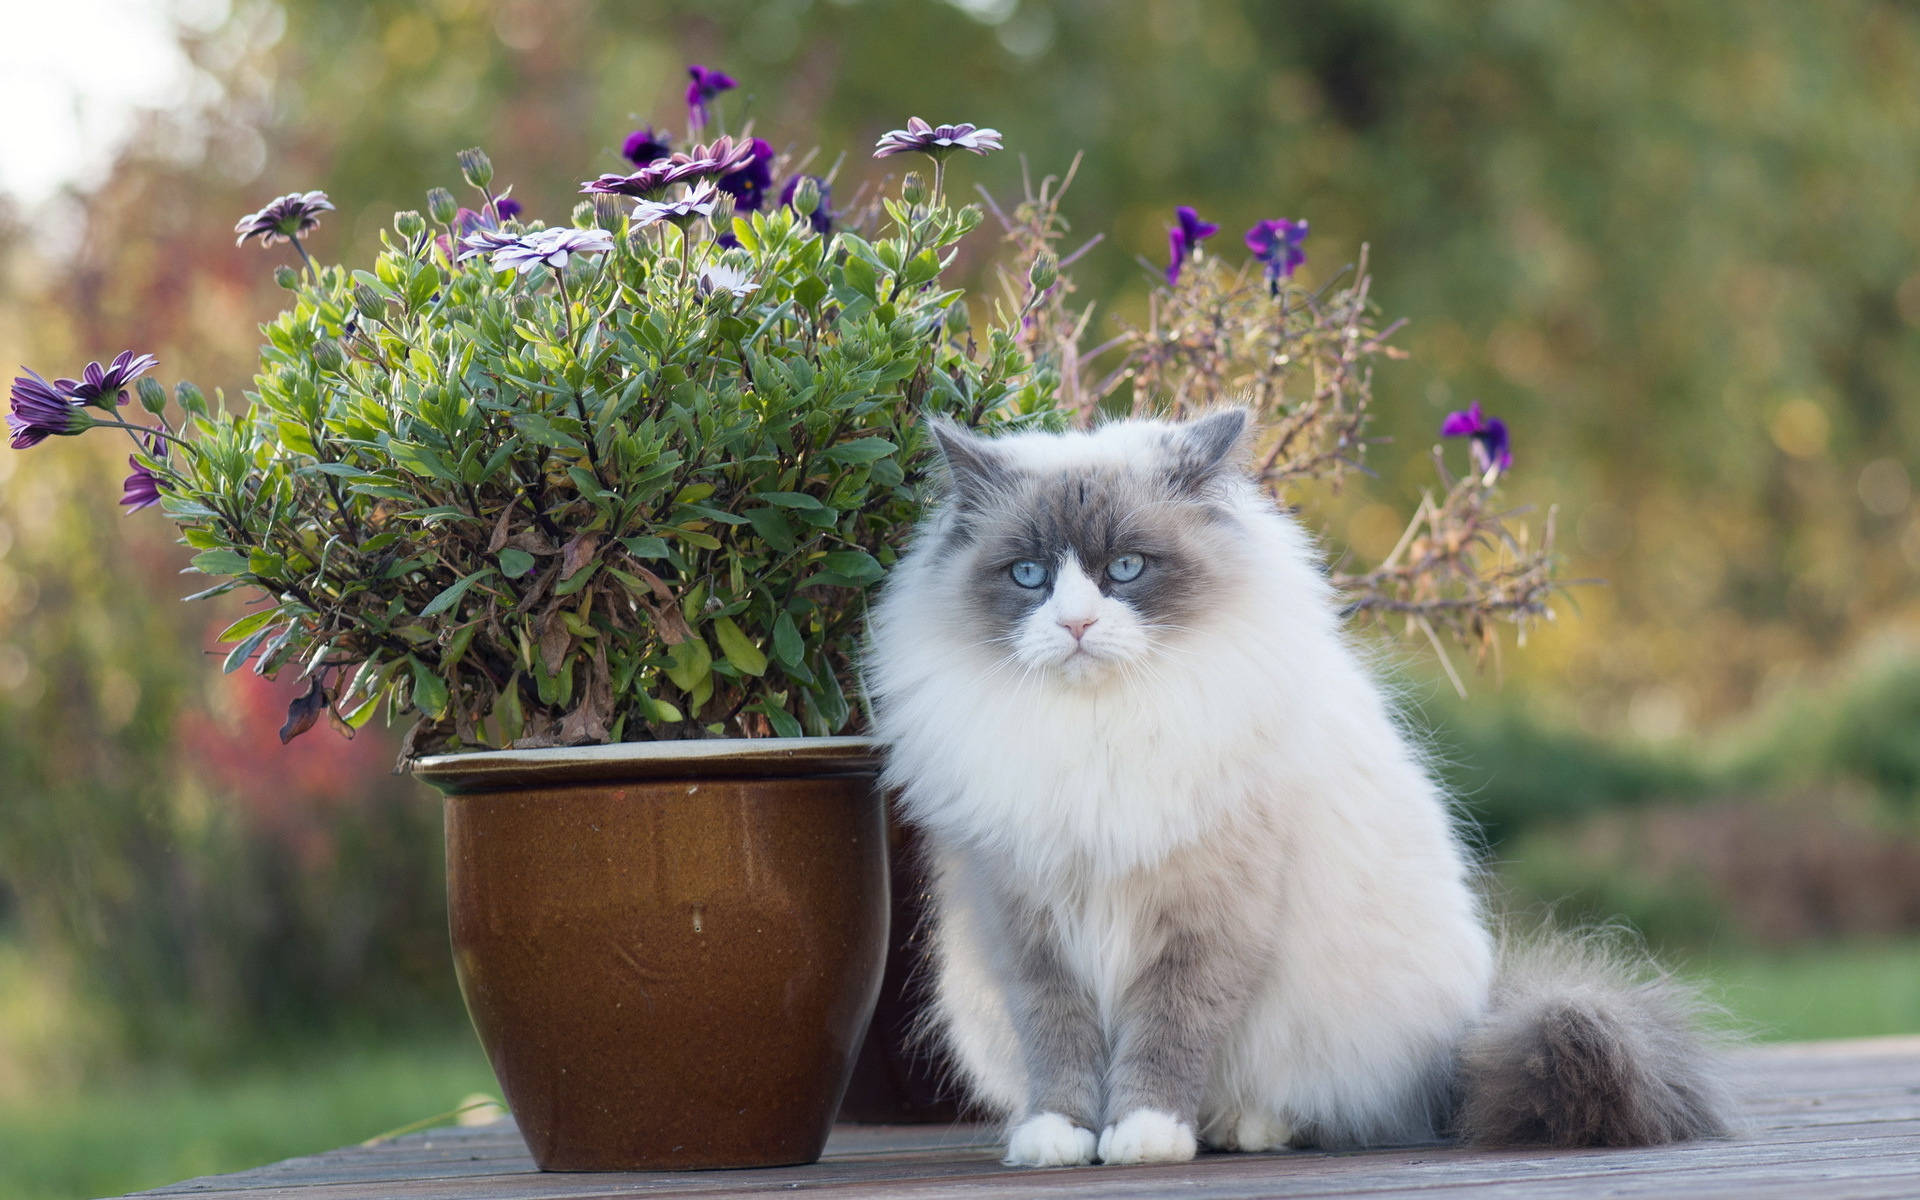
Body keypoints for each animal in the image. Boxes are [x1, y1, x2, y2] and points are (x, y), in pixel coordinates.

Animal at [864, 408, 1735, 1159]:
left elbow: (1167, 1037)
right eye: (1030, 576)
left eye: (1126, 569)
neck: (1101, 730)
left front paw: (1145, 1136)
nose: (1076, 626)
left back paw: (1242, 1128)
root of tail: (1479, 1014)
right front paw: (1063, 1139)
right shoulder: (1031, 929)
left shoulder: (1205, 922)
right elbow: (1061, 1045)